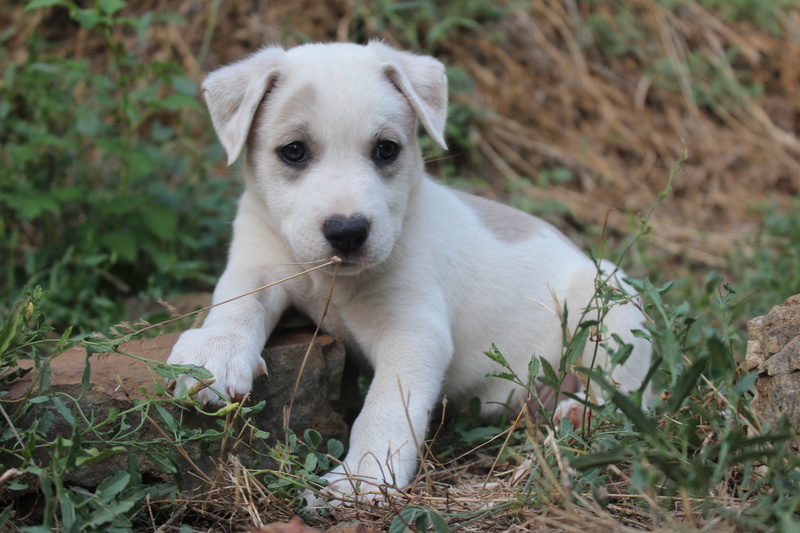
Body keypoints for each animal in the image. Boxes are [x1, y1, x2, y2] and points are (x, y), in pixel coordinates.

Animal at [167, 41, 648, 502]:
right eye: (294, 151)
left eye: (386, 150)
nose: (347, 232)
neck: (332, 280)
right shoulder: (258, 266)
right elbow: (236, 304)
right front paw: (214, 353)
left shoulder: (413, 332)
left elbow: (385, 406)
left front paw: (364, 477)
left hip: (610, 298)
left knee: (627, 393)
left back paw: (579, 411)